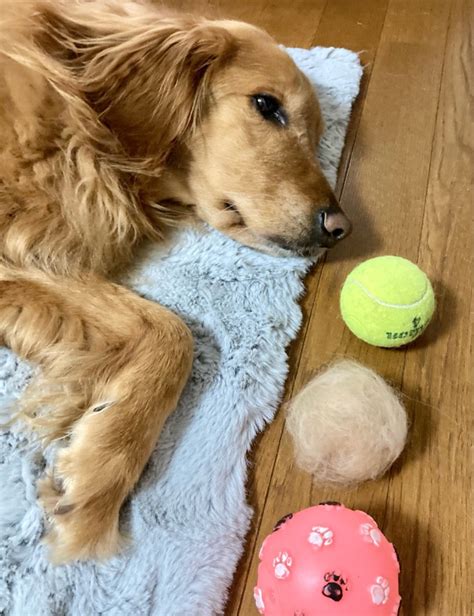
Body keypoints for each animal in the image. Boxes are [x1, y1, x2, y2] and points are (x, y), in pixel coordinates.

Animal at [0, 0, 348, 560]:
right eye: (267, 105)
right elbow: (174, 333)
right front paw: (99, 479)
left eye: (320, 139)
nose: (340, 228)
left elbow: (168, 332)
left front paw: (99, 467)